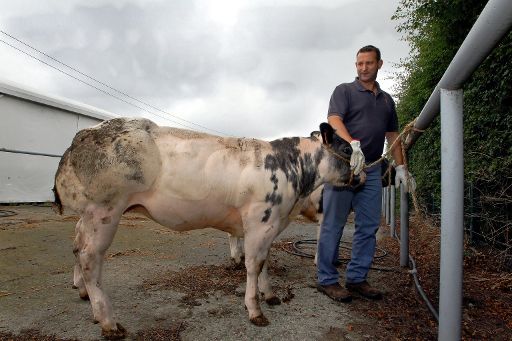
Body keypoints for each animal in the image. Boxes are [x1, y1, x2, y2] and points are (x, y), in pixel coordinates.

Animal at [53, 116, 360, 338]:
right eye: (347, 149)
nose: (362, 176)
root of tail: (85, 133)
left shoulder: (270, 223)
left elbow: (265, 262)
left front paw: (269, 294)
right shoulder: (260, 220)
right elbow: (253, 264)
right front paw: (255, 310)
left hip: (90, 215)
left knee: (77, 245)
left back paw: (85, 295)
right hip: (103, 211)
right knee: (89, 258)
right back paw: (108, 321)